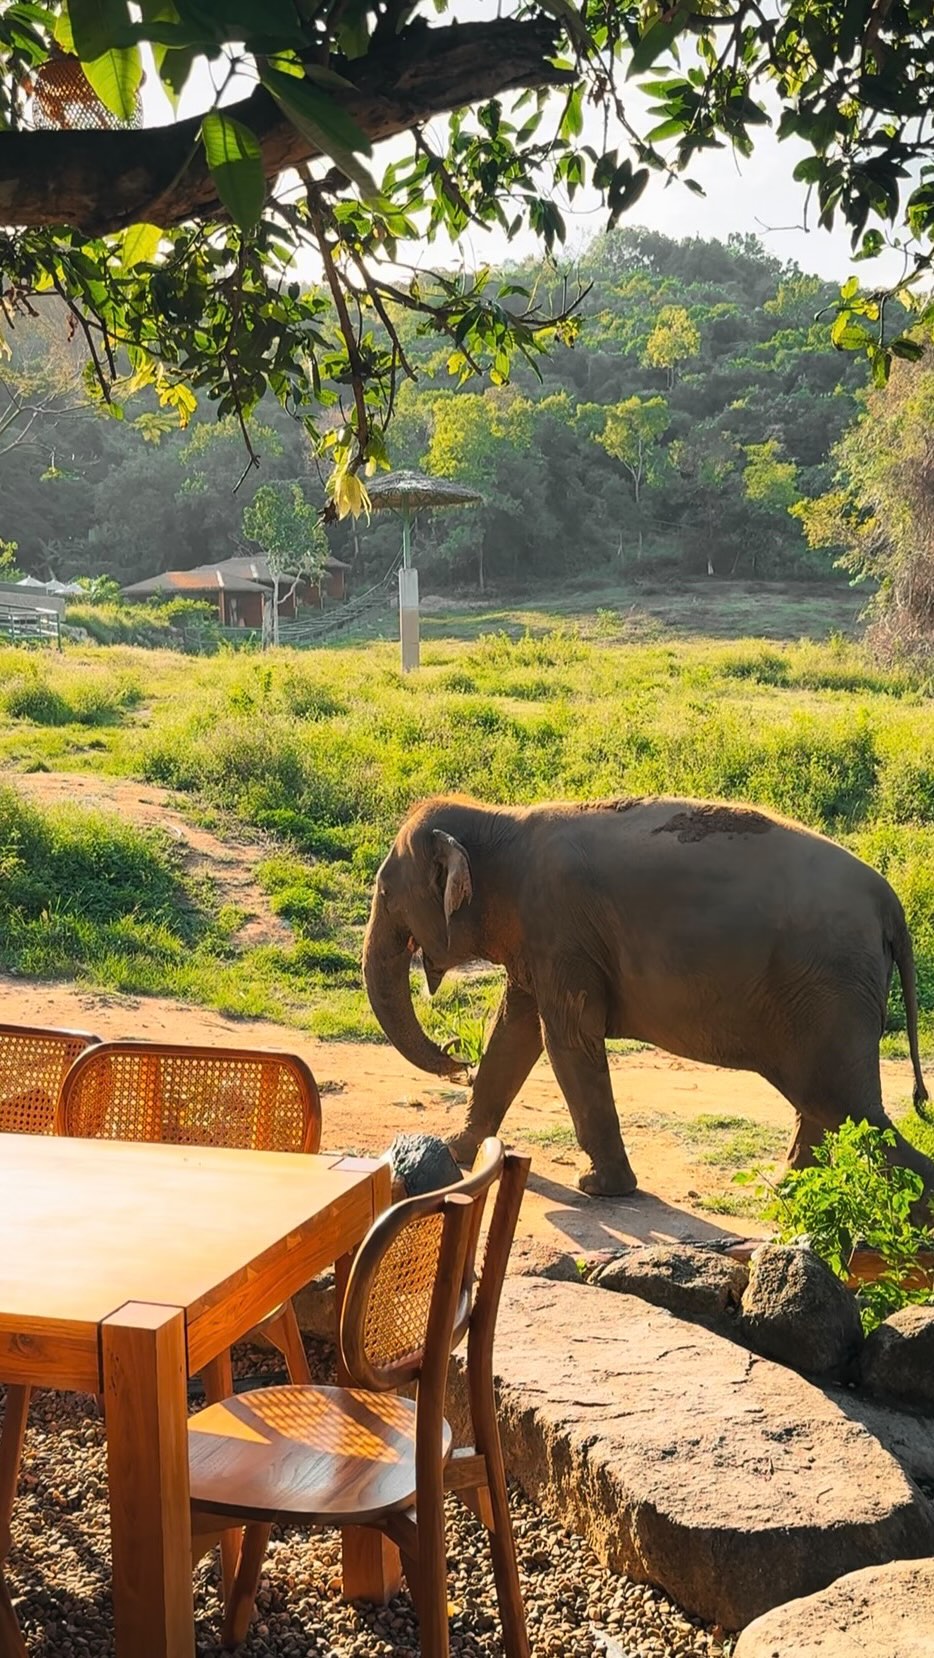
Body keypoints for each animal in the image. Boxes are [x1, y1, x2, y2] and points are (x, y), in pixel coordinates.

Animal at [362, 792, 934, 1198]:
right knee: (827, 1106)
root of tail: (891, 904)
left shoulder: (560, 929)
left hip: (830, 989)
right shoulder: (537, 941)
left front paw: (599, 1189)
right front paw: (459, 1149)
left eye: (385, 894)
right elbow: (514, 1031)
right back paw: (787, 1187)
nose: (456, 1057)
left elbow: (566, 1038)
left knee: (851, 1110)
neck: (501, 820)